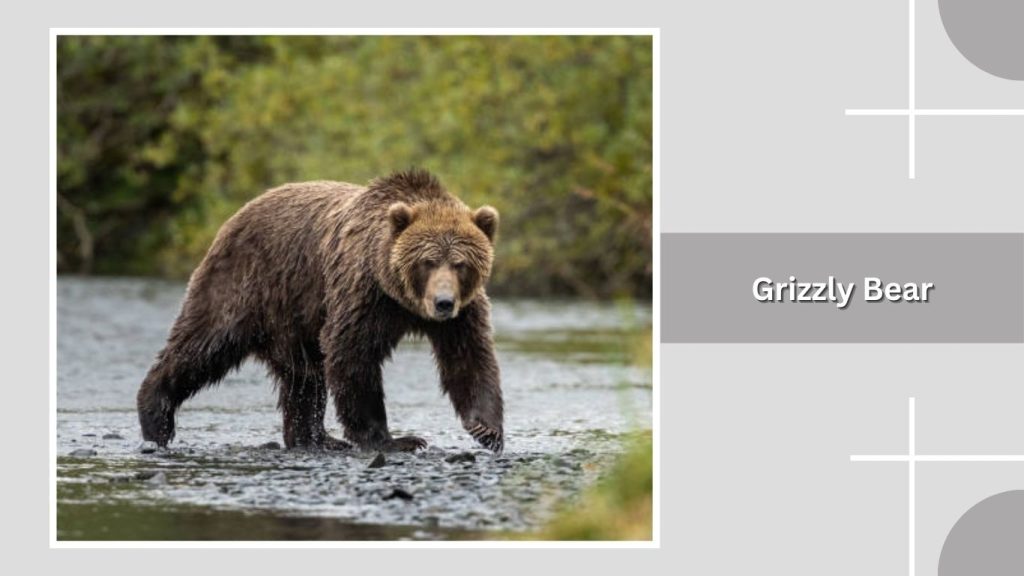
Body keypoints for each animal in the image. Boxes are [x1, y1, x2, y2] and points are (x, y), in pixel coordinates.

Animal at [136, 169, 504, 453]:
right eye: (427, 261)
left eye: (460, 264)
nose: (443, 302)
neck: (402, 300)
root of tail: (237, 214)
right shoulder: (362, 293)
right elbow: (351, 352)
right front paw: (393, 439)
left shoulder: (463, 314)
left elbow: (470, 358)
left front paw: (487, 430)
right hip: (246, 284)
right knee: (203, 344)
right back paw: (156, 417)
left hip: (293, 318)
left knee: (303, 378)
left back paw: (315, 438)